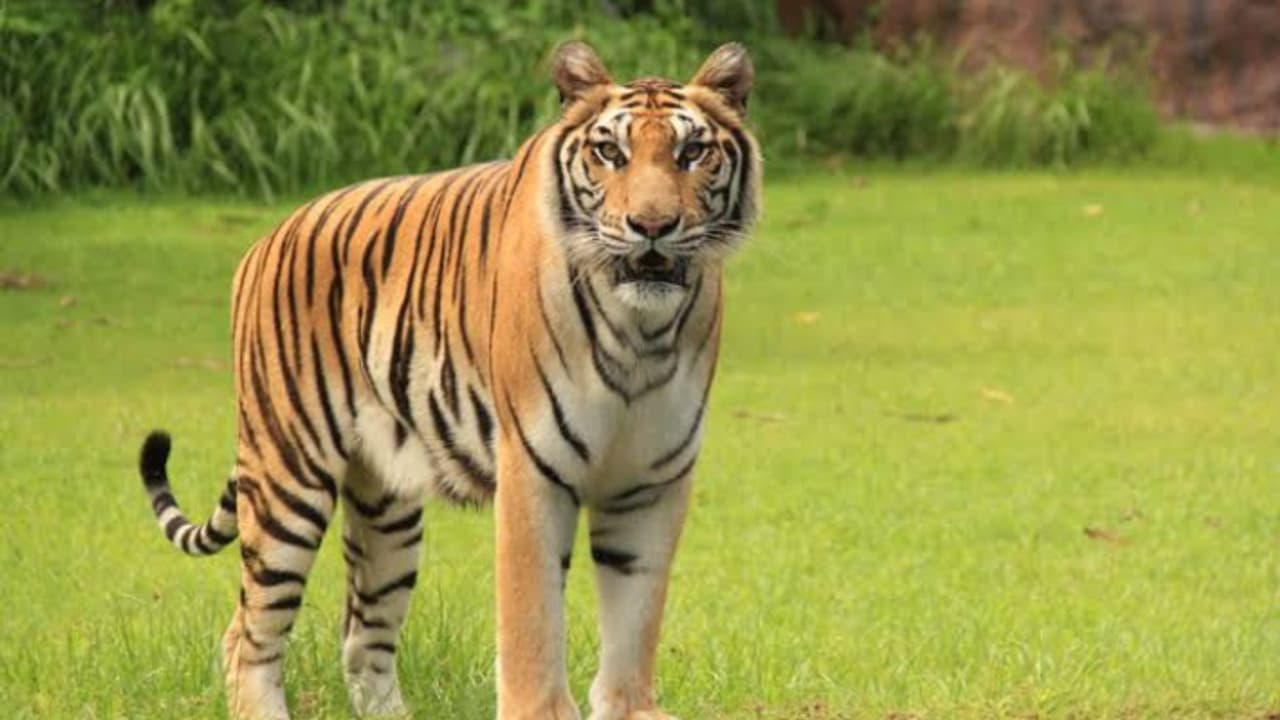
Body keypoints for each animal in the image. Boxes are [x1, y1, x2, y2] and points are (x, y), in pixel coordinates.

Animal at [138, 41, 760, 720]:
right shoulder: (534, 471)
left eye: (691, 152)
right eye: (609, 153)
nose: (652, 225)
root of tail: (265, 241)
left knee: (362, 636)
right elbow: (532, 625)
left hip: (387, 511)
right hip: (288, 477)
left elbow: (635, 624)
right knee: (248, 634)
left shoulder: (651, 482)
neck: (641, 332)